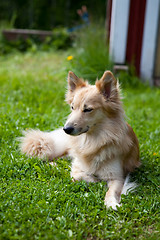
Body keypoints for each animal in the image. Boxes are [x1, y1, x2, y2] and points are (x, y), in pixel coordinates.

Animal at [19, 71, 140, 210]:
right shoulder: (77, 166)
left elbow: (111, 191)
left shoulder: (117, 177)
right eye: (72, 107)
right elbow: (77, 175)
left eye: (88, 109)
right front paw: (96, 180)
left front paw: (111, 203)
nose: (66, 129)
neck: (92, 142)